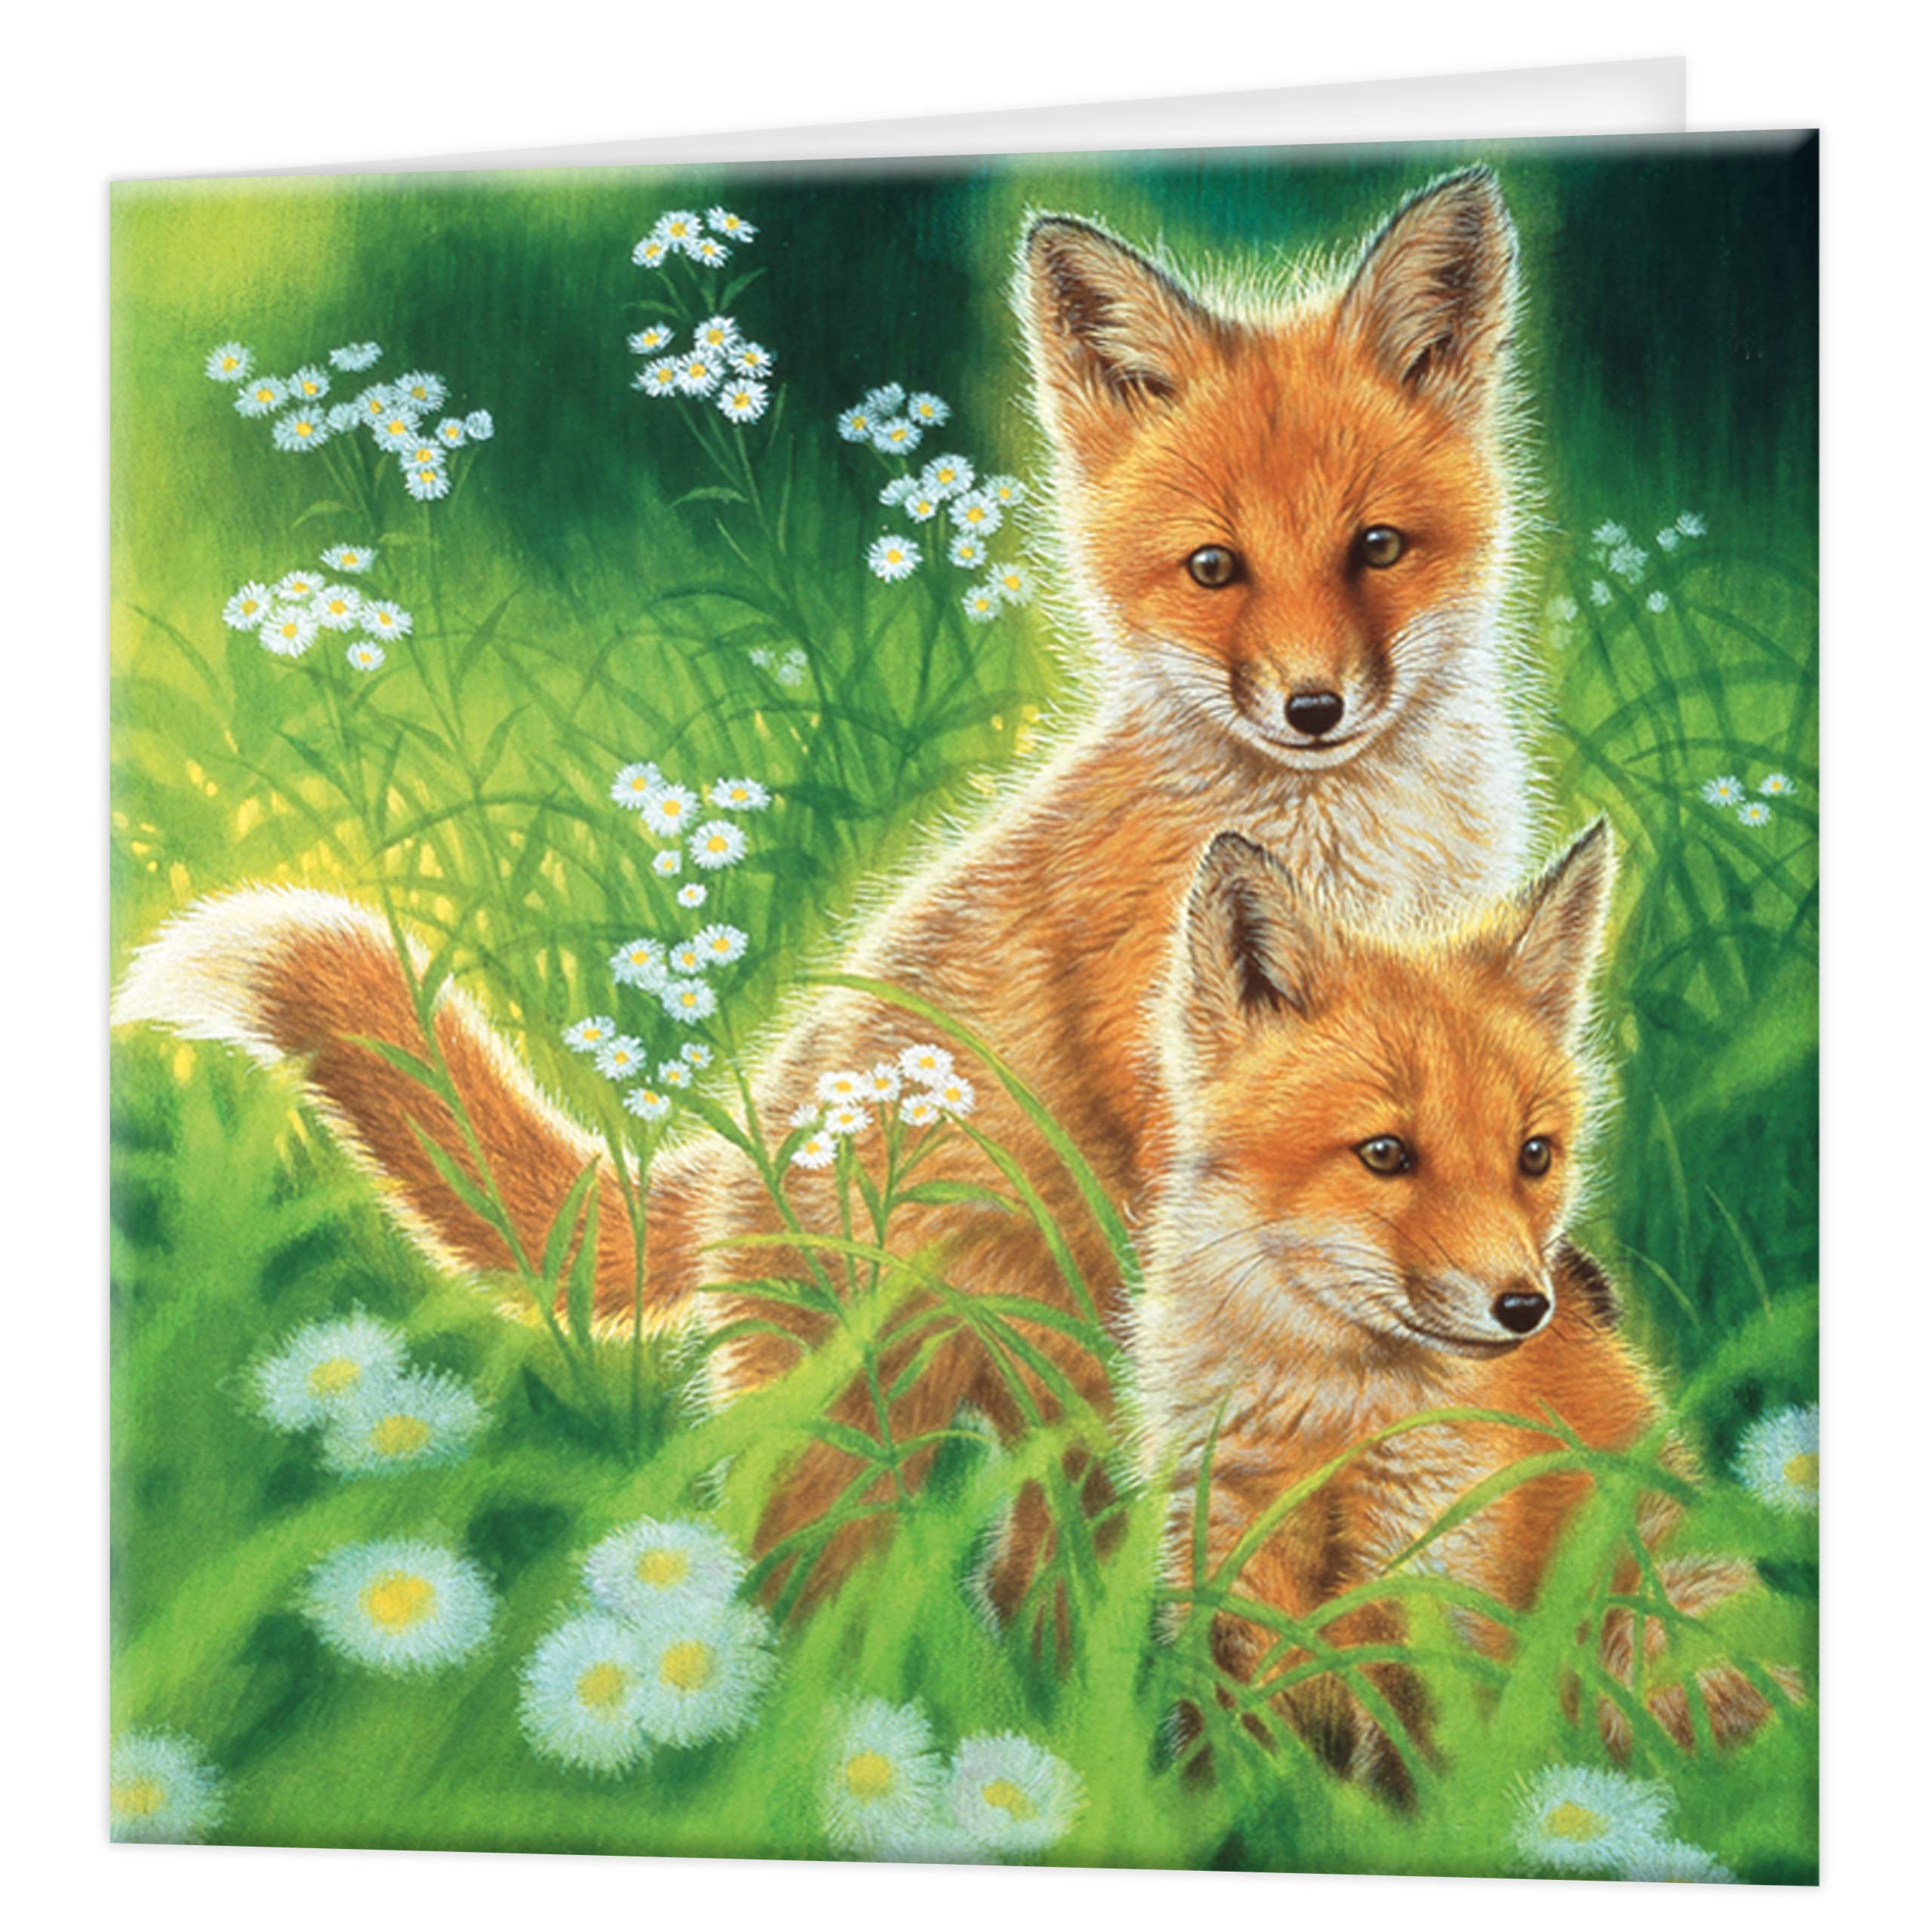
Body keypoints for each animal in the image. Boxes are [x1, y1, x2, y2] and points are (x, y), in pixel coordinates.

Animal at [115, 170, 1536, 1604]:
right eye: (1212, 569)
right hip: (863, 1434)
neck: (1353, 852)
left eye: (1377, 547)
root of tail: (752, 1139)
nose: (1313, 709)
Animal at [1132, 825, 1789, 1790]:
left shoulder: (1434, 1587)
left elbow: (1416, 1783)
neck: (1326, 1420)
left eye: (1533, 1154)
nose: (1524, 1306)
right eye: (1384, 1153)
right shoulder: (1220, 1573)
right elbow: (1231, 1771)